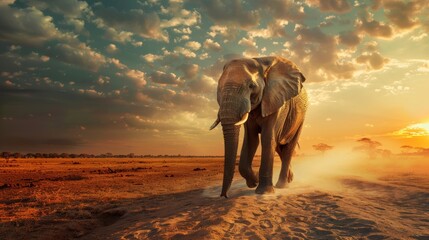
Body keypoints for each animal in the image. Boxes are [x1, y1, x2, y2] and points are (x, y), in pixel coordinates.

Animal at [209, 56, 306, 199]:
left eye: (251, 86)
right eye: (218, 87)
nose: (224, 196)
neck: (259, 61)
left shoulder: (275, 101)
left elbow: (267, 139)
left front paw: (264, 192)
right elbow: (251, 140)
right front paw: (254, 181)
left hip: (301, 118)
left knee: (288, 147)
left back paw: (282, 185)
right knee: (279, 146)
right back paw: (290, 179)